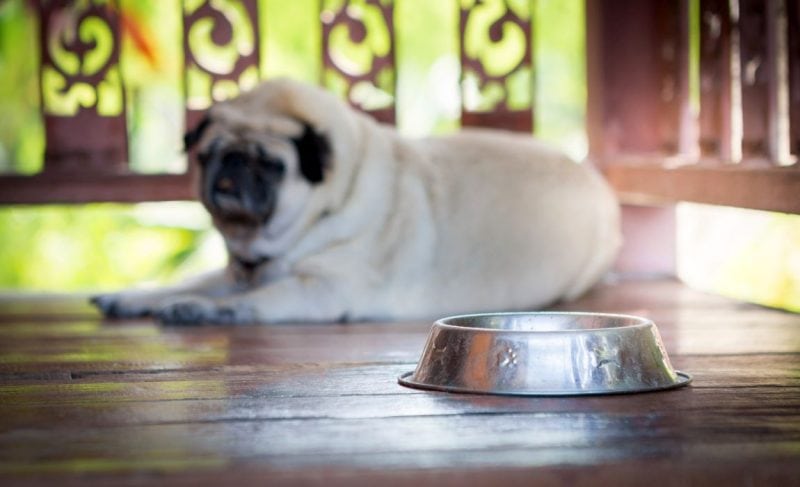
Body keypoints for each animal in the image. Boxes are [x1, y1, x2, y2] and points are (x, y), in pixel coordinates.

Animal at [90, 79, 620, 324]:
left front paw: (203, 310)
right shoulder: (236, 271)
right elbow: (185, 281)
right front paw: (134, 297)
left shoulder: (324, 289)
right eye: (208, 154)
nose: (230, 167)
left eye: (269, 164)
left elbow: (256, 300)